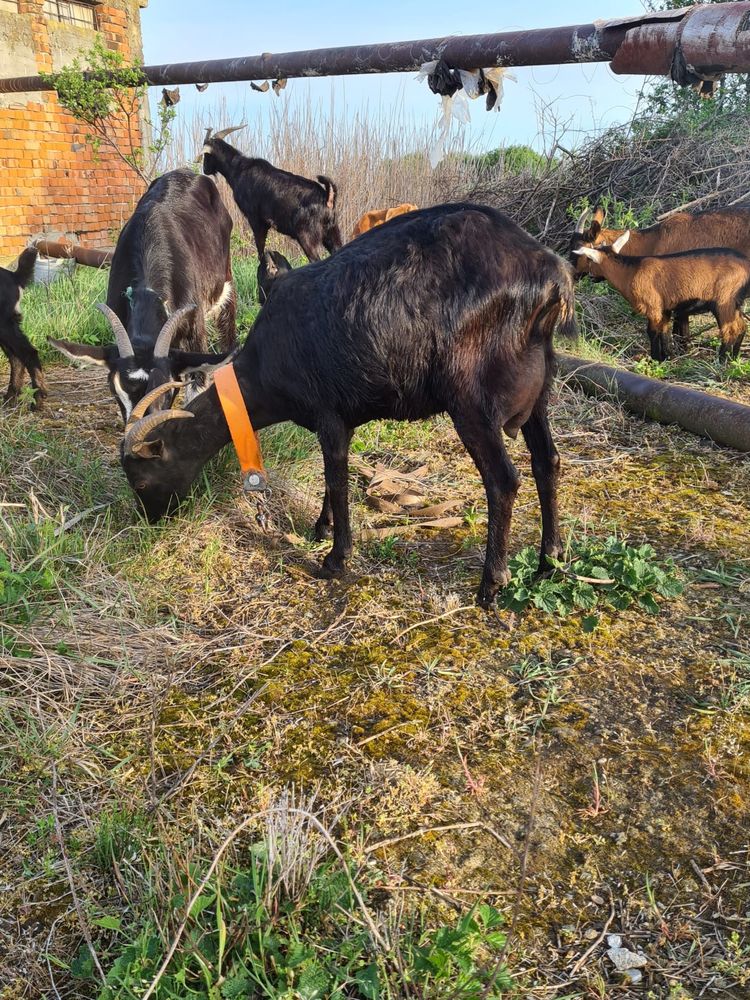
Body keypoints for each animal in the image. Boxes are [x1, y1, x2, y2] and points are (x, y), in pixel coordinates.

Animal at [0, 248, 46, 408]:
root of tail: (14, 276)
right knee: (16, 358)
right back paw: (11, 397)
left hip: (4, 323)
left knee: (28, 353)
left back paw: (37, 399)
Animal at [119, 203, 576, 604]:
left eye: (141, 481)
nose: (151, 523)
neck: (264, 364)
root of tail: (551, 274)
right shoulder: (342, 417)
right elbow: (330, 475)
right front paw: (321, 528)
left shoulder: (328, 414)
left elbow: (336, 479)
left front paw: (335, 559)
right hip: (541, 388)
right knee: (547, 461)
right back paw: (549, 560)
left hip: (471, 398)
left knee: (503, 479)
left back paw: (491, 583)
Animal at [200, 125, 340, 262]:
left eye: (206, 156)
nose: (205, 169)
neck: (239, 169)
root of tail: (327, 198)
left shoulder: (255, 218)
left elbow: (260, 247)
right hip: (332, 233)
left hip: (306, 235)